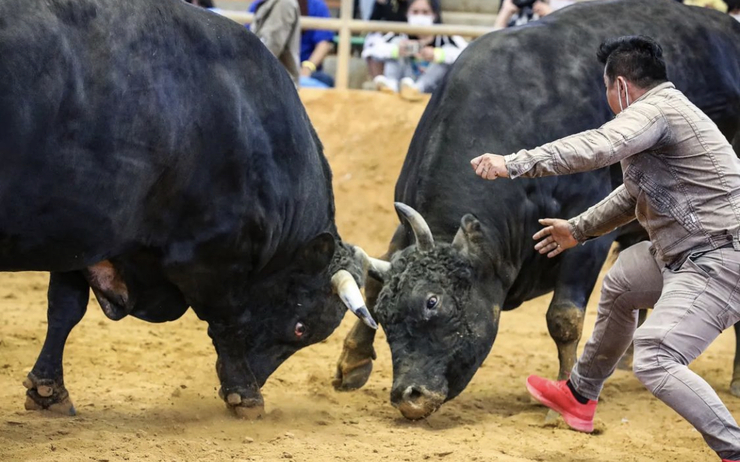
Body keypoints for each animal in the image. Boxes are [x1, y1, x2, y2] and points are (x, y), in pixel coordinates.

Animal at [0, 0, 384, 416]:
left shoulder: (81, 234)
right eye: (301, 327)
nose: (257, 378)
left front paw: (48, 389)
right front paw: (245, 394)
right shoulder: (211, 255)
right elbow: (227, 319)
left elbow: (65, 309)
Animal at [336, 0, 740, 420]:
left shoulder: (587, 239)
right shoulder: (404, 228)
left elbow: (564, 317)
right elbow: (373, 281)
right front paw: (353, 360)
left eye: (433, 301)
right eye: (386, 316)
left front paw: (563, 397)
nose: (408, 396)